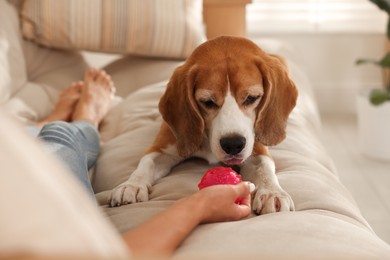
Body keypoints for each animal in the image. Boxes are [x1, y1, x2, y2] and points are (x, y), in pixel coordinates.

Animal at [109, 36, 298, 215]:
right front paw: (131, 185)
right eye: (207, 102)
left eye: (251, 98)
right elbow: (147, 162)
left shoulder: (256, 148)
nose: (233, 144)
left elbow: (264, 168)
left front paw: (272, 192)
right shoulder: (163, 146)